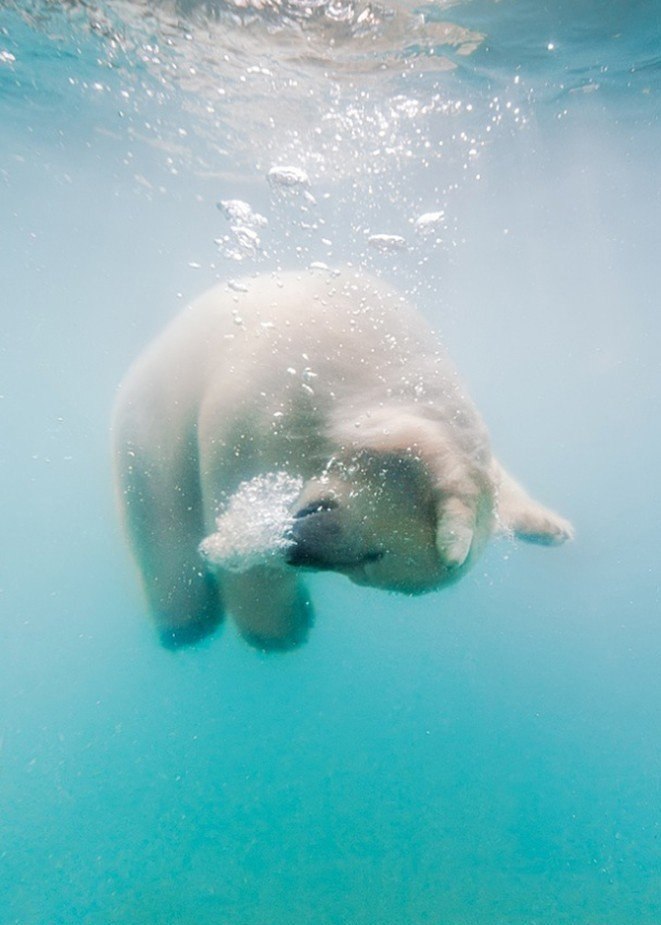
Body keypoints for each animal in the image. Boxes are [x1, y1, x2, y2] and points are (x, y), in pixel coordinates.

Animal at [111, 270, 568, 648]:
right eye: (376, 553)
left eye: (368, 564)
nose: (298, 551)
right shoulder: (265, 392)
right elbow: (233, 486)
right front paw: (281, 628)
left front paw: (554, 527)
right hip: (148, 420)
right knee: (162, 520)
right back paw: (187, 626)